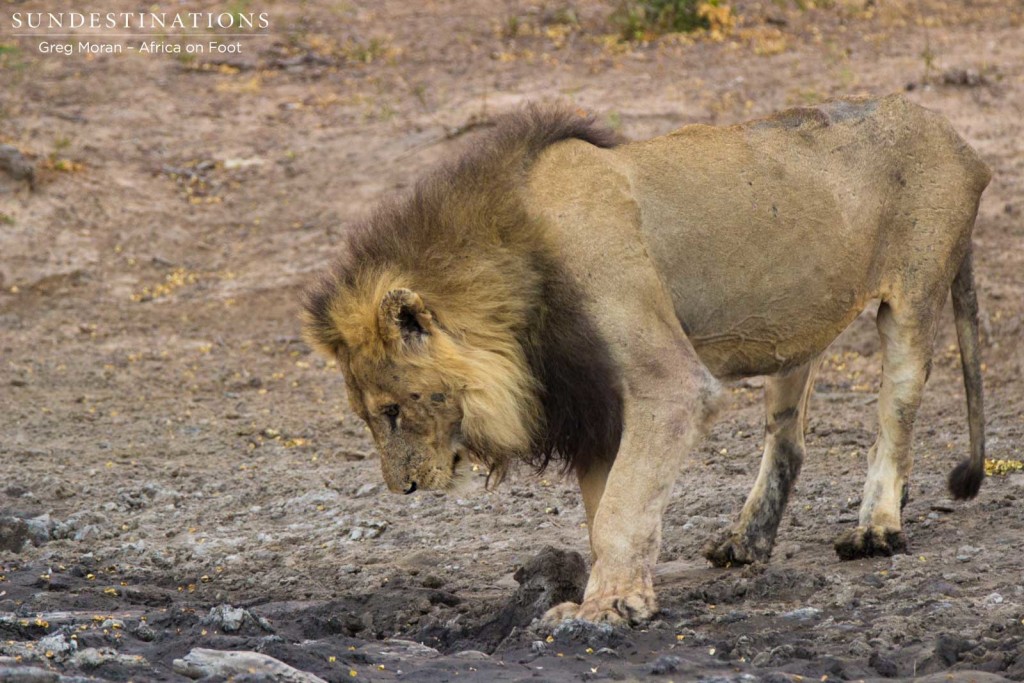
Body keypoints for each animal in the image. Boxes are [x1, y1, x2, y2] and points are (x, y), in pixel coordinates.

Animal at [299, 93, 987, 626]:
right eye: (371, 415)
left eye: (392, 409)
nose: (406, 489)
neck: (511, 280)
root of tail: (955, 134)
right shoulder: (594, 404)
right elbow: (608, 508)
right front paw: (623, 594)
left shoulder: (669, 384)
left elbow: (619, 512)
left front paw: (606, 608)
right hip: (795, 324)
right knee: (788, 440)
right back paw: (745, 541)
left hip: (915, 294)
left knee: (895, 419)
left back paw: (876, 529)